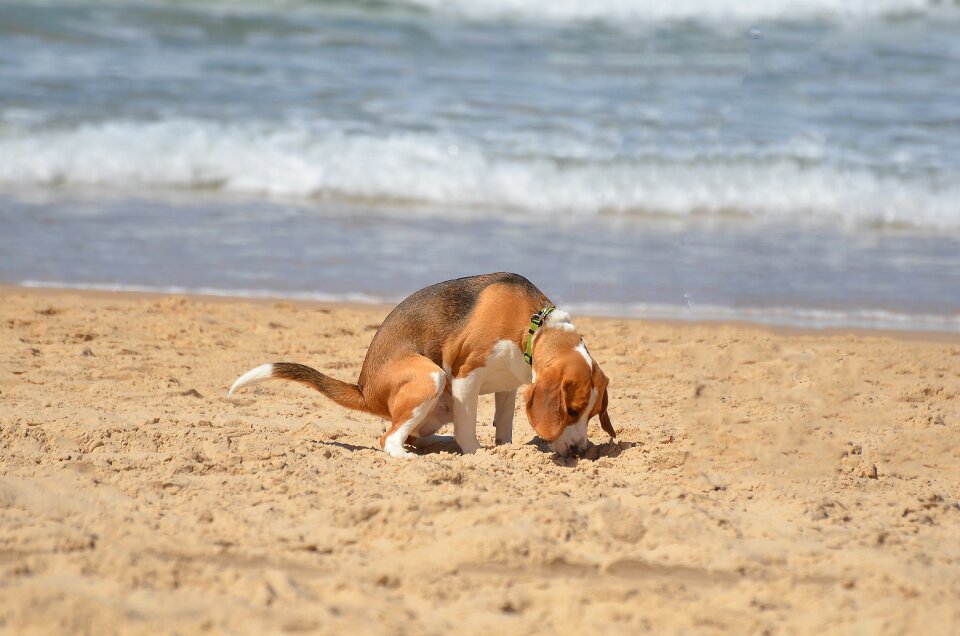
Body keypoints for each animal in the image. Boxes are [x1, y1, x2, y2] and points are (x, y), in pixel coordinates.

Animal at [229, 274, 612, 458]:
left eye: (592, 414)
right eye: (571, 410)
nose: (580, 451)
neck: (533, 325)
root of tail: (364, 389)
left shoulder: (508, 386)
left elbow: (503, 427)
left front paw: (505, 449)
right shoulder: (464, 375)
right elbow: (468, 430)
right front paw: (477, 455)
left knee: (410, 432)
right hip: (432, 377)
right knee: (388, 438)